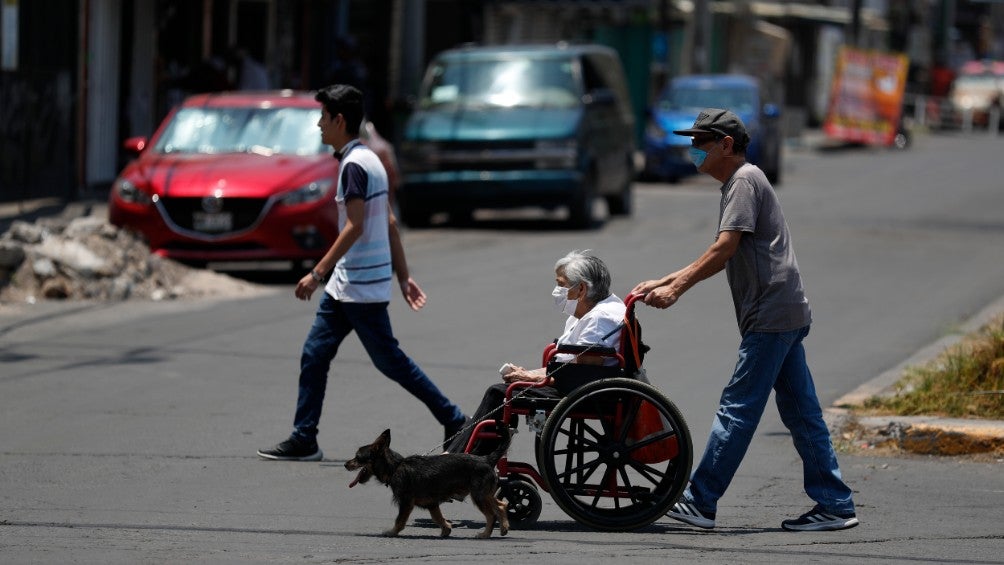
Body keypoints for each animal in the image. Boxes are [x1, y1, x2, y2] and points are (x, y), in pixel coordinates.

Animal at [349, 429, 514, 537]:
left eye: (357, 457)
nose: (345, 464)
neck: (395, 467)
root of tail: (486, 458)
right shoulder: (432, 504)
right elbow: (438, 518)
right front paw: (446, 529)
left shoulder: (406, 503)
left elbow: (400, 520)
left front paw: (392, 532)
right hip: (484, 494)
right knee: (501, 505)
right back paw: (504, 527)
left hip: (478, 495)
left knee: (491, 515)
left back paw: (485, 534)